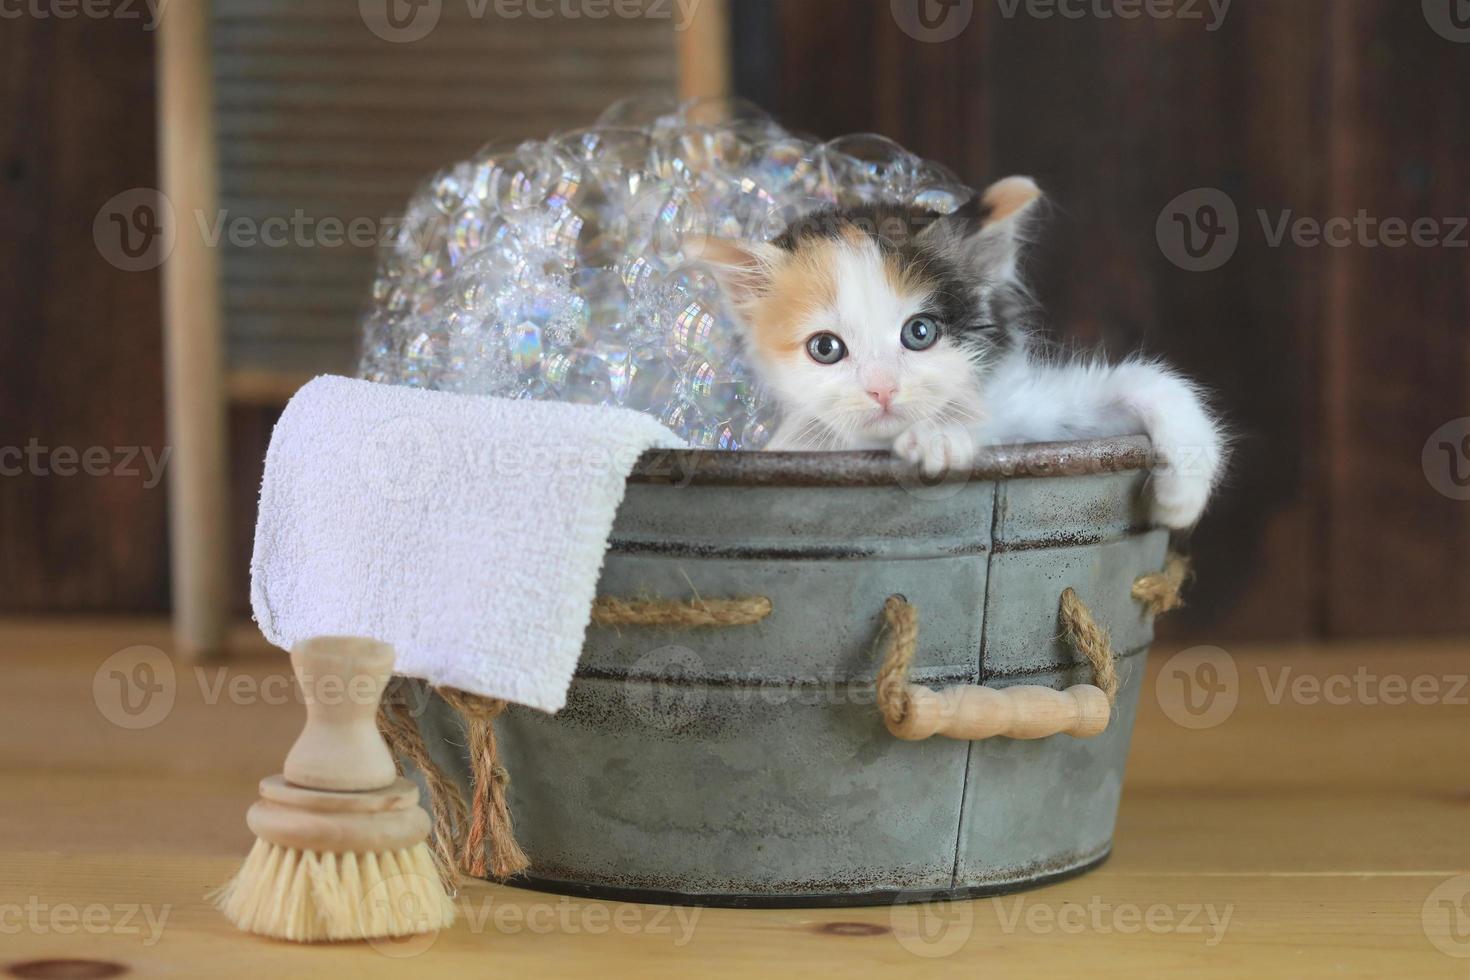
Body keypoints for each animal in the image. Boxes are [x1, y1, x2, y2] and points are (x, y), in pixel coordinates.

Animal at [699, 176, 1228, 528]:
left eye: (919, 333)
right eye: (826, 348)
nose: (882, 390)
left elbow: (1146, 384)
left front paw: (1181, 494)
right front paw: (940, 438)